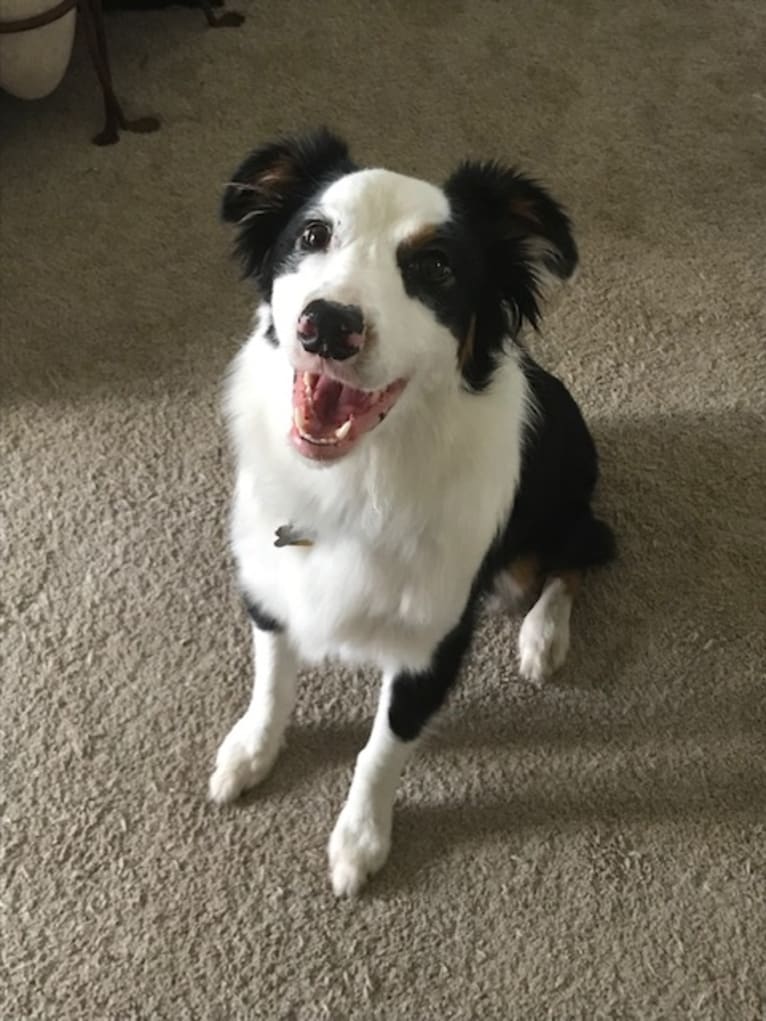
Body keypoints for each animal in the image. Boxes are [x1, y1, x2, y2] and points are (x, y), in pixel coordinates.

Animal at [210, 127, 616, 894]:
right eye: (313, 233)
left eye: (436, 266)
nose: (327, 325)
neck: (359, 477)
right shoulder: (270, 586)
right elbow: (272, 680)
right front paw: (249, 752)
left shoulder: (434, 642)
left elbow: (382, 747)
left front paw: (359, 841)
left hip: (548, 525)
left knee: (583, 552)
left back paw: (543, 636)